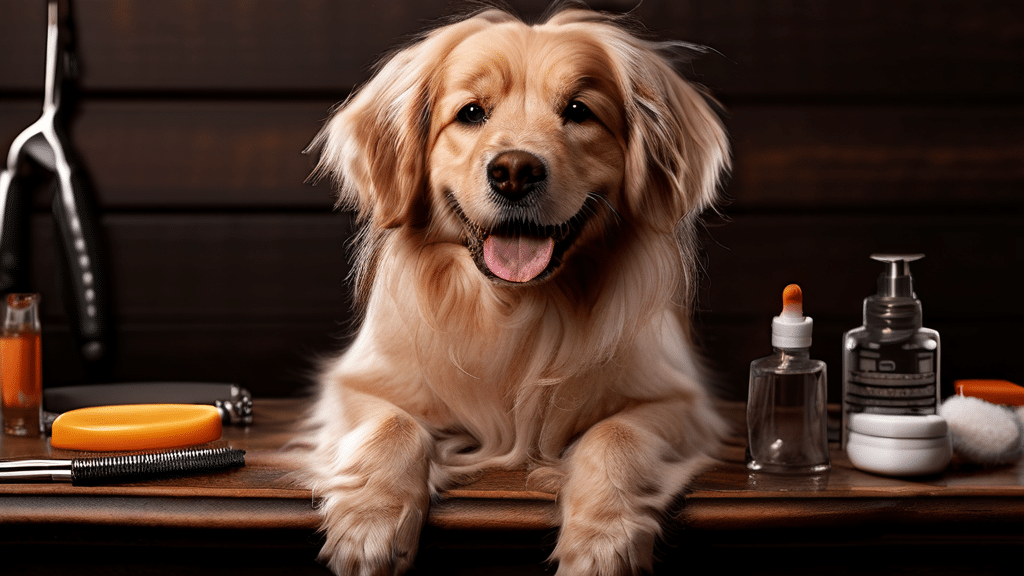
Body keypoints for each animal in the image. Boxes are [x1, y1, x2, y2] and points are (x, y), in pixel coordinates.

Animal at [299, 4, 733, 573]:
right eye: (470, 112)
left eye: (578, 111)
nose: (514, 171)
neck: (516, 309)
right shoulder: (355, 383)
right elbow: (391, 425)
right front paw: (368, 523)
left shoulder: (680, 400)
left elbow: (616, 433)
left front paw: (602, 540)